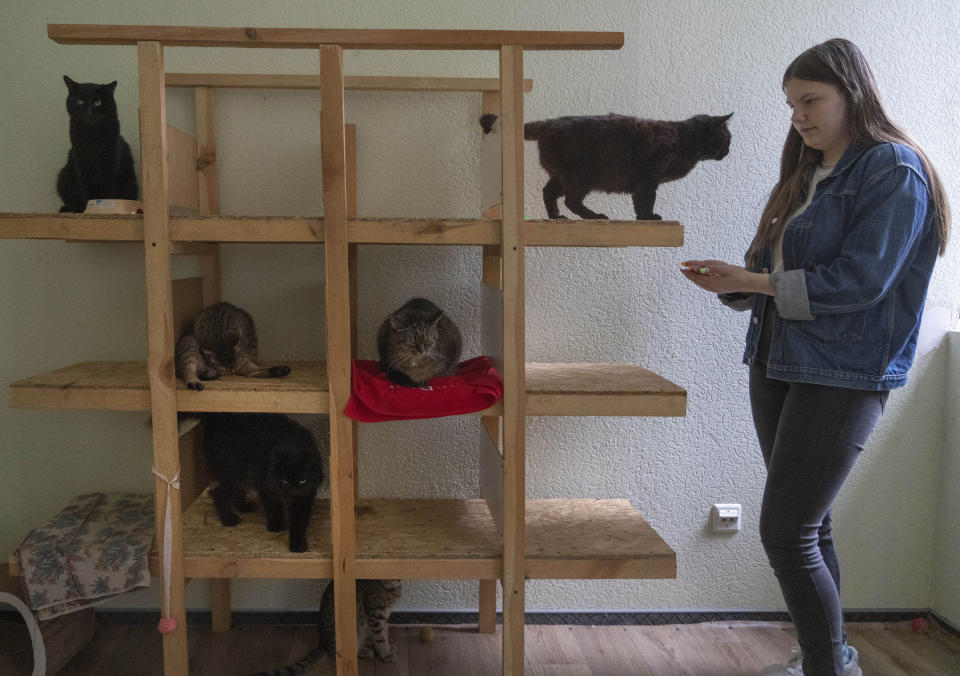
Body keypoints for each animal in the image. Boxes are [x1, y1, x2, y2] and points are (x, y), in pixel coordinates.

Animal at [58, 74, 139, 211]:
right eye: (80, 101)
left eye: (98, 102)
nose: (88, 112)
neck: (92, 135)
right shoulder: (80, 161)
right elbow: (85, 187)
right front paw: (89, 207)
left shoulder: (111, 160)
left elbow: (108, 187)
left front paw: (104, 206)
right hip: (64, 176)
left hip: (131, 182)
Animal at [480, 109, 736, 218]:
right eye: (727, 138)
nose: (728, 152)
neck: (684, 139)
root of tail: (550, 123)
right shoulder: (649, 179)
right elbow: (646, 201)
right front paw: (648, 218)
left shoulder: (646, 181)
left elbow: (640, 201)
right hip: (582, 177)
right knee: (571, 201)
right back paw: (594, 216)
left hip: (562, 176)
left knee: (549, 193)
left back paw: (556, 217)